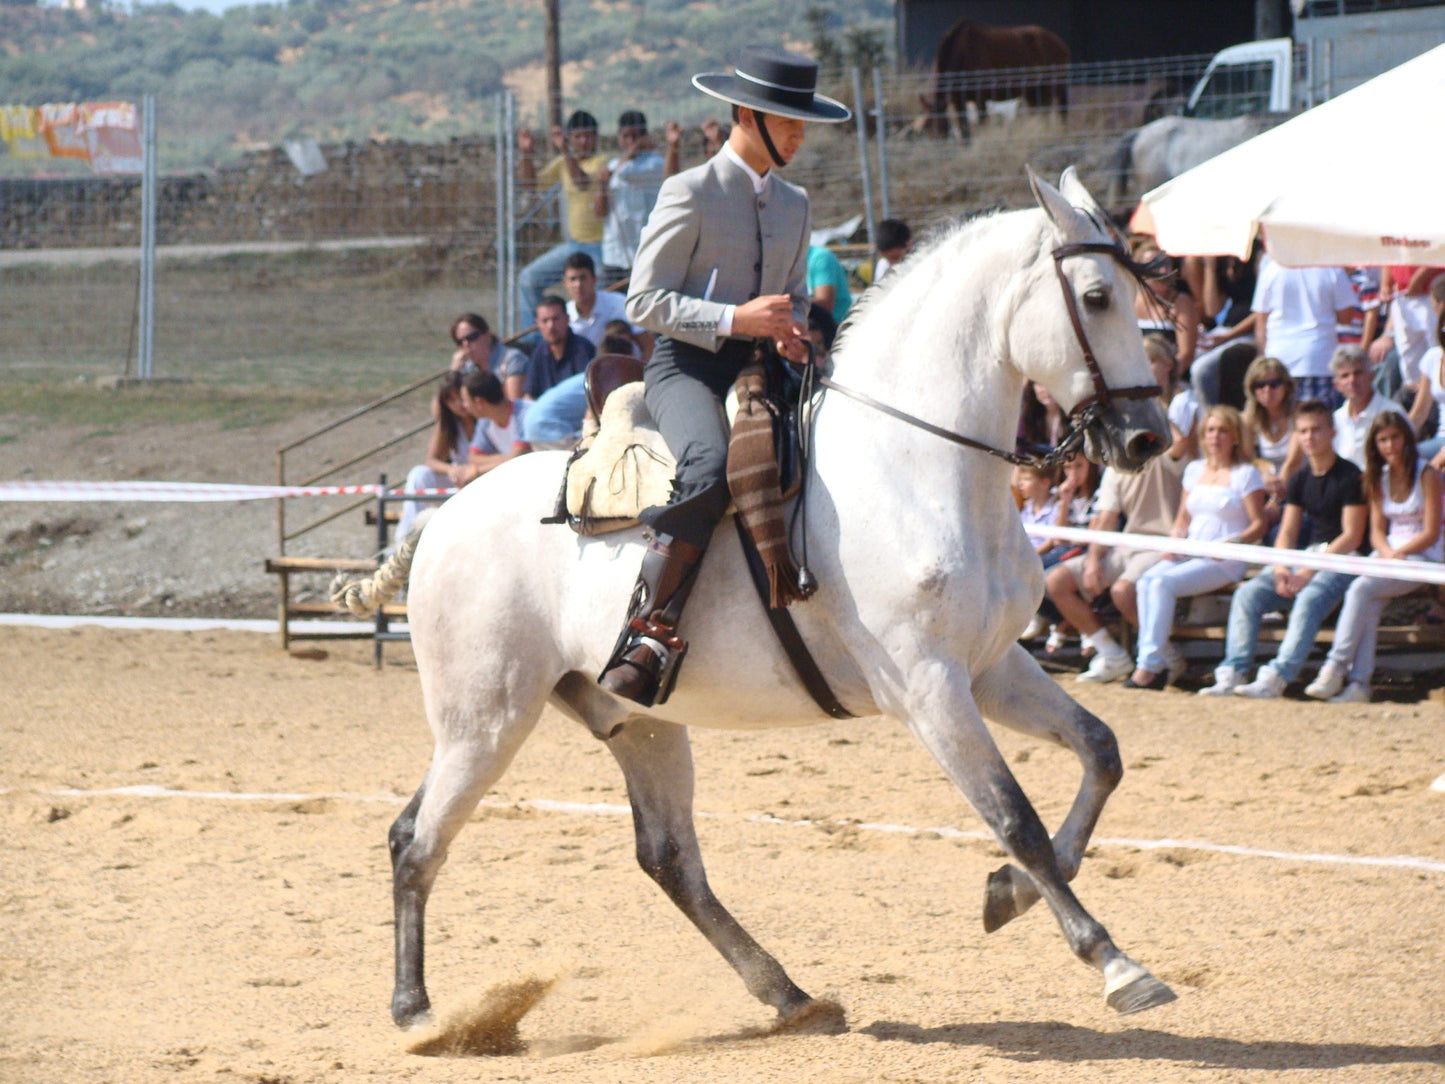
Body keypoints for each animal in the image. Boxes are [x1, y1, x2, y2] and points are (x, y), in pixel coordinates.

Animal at [361, 167, 1173, 1034]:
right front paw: (1114, 962)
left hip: (636, 723)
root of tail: (443, 515)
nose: (1147, 438)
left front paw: (1010, 894)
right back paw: (418, 1015)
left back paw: (786, 992)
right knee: (418, 839)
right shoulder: (928, 687)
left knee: (667, 858)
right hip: (484, 719)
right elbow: (1013, 816)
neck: (912, 464)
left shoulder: (990, 668)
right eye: (1095, 296)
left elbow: (1099, 753)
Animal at [919, 20, 1069, 140]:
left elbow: (981, 126)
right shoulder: (958, 102)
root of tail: (1060, 42)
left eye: (943, 127)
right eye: (926, 128)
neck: (962, 53)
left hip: (1053, 87)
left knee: (1060, 111)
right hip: (1032, 92)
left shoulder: (980, 99)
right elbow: (964, 130)